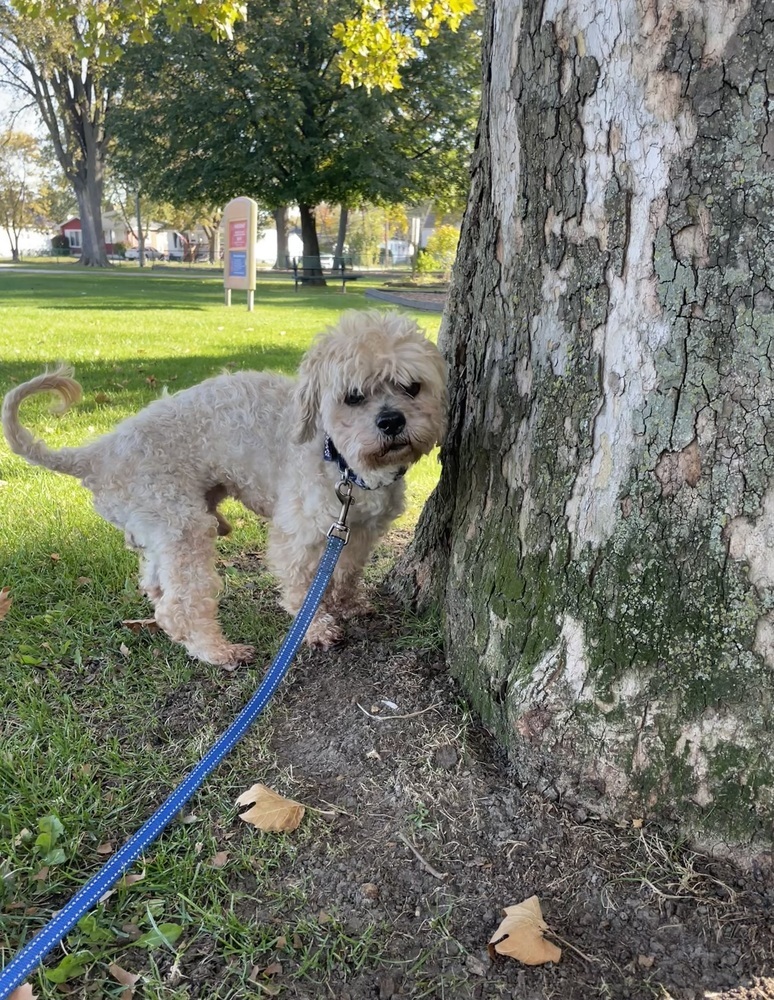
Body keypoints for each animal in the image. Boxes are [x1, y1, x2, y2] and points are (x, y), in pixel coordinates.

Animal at [3, 310, 448, 672]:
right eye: (353, 396)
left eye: (412, 387)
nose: (391, 421)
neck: (343, 464)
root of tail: (99, 452)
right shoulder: (298, 533)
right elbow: (302, 587)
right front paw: (315, 626)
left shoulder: (363, 529)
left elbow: (348, 572)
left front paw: (349, 603)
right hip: (183, 524)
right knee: (178, 607)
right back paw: (218, 651)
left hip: (162, 529)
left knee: (155, 585)